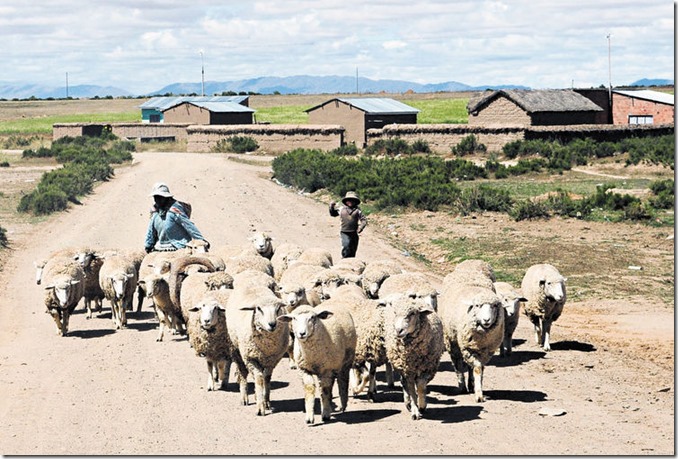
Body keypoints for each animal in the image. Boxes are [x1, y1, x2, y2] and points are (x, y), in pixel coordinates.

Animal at [226, 284, 290, 416]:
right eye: (259, 309)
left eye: (278, 309)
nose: (272, 324)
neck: (267, 346)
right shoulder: (250, 358)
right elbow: (259, 378)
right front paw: (260, 406)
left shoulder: (272, 360)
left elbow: (266, 378)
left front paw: (266, 401)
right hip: (237, 350)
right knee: (243, 373)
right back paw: (244, 397)